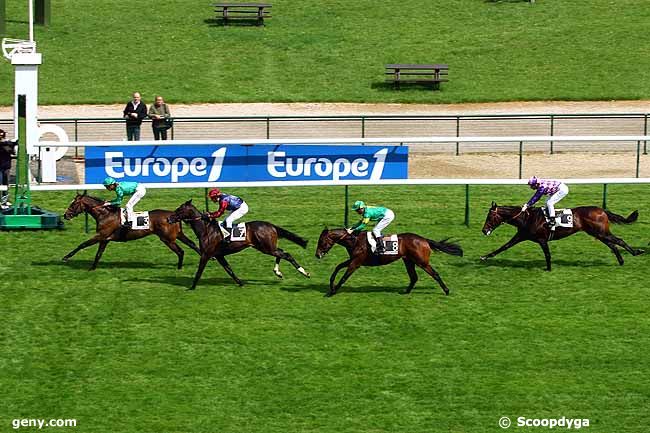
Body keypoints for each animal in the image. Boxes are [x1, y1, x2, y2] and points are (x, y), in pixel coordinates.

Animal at [63, 191, 201, 268]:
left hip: (167, 239)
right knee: (192, 244)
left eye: (73, 204)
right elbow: (98, 254)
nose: (65, 215)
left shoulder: (101, 235)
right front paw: (92, 268)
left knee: (180, 251)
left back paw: (179, 267)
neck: (105, 214)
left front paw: (66, 257)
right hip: (177, 234)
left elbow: (82, 244)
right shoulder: (105, 239)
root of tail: (174, 215)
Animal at [166, 200, 310, 290]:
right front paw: (240, 283)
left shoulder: (206, 254)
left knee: (286, 254)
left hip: (266, 247)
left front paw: (192, 287)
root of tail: (271, 225)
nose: (168, 218)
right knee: (281, 252)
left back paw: (304, 272)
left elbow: (199, 271)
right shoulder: (219, 255)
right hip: (267, 247)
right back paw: (278, 272)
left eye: (179, 210)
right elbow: (229, 270)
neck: (206, 229)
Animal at [312, 230, 460, 296]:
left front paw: (332, 292)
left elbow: (344, 277)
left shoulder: (356, 263)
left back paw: (446, 290)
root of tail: (424, 240)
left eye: (321, 241)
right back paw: (406, 292)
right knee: (414, 277)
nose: (317, 255)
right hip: (408, 261)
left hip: (421, 262)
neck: (354, 240)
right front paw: (331, 285)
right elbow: (337, 267)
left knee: (435, 274)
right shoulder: (353, 259)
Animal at [478, 202, 640, 270]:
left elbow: (547, 254)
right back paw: (621, 260)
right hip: (599, 234)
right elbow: (503, 247)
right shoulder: (521, 236)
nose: (484, 230)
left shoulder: (542, 239)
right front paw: (484, 257)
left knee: (619, 240)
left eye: (490, 217)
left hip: (600, 232)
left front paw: (548, 268)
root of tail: (602, 210)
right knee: (613, 245)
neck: (527, 218)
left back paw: (637, 252)